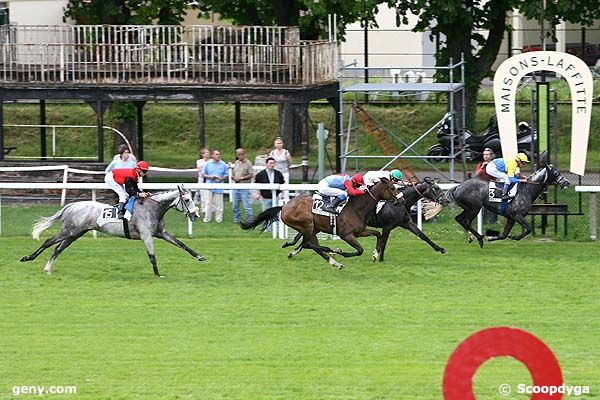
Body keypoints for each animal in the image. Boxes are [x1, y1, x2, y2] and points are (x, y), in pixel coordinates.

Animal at [19, 186, 203, 276]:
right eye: (187, 200)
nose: (196, 215)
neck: (152, 208)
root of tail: (70, 205)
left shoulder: (160, 233)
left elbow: (181, 244)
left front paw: (200, 256)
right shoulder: (146, 236)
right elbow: (152, 256)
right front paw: (158, 275)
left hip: (75, 233)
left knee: (58, 248)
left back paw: (47, 269)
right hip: (69, 231)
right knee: (48, 241)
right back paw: (27, 258)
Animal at [238, 178, 398, 268]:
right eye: (392, 188)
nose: (401, 199)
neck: (356, 207)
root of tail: (284, 207)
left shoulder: (359, 232)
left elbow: (378, 234)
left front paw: (375, 255)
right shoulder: (346, 234)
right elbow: (360, 250)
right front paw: (340, 251)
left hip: (312, 228)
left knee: (309, 244)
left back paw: (334, 262)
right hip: (307, 224)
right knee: (309, 244)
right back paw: (331, 251)